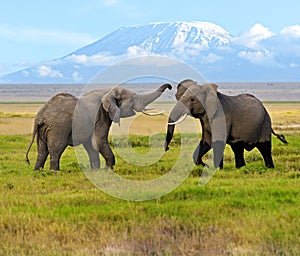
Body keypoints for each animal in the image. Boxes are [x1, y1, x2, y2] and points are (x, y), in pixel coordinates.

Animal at [25, 84, 171, 171]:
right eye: (133, 99)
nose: (170, 87)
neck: (108, 91)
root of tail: (40, 117)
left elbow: (90, 145)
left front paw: (95, 170)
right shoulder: (101, 116)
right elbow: (99, 141)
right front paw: (108, 169)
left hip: (44, 129)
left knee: (42, 149)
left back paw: (38, 171)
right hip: (59, 127)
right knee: (56, 148)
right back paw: (55, 171)